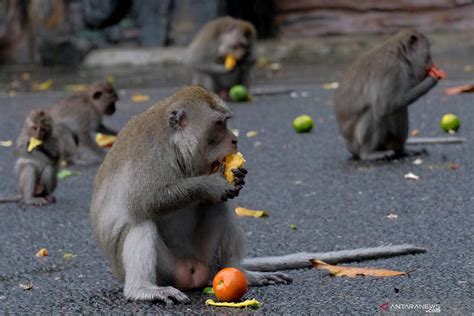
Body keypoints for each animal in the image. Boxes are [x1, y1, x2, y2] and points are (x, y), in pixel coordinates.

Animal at [89, 86, 288, 304]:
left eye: (226, 123)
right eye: (219, 124)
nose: (235, 140)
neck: (175, 145)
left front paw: (238, 176)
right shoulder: (148, 155)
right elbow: (144, 201)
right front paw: (213, 184)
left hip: (204, 257)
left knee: (220, 206)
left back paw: (241, 272)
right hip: (166, 270)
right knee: (142, 221)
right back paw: (142, 289)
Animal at [334, 29, 444, 160]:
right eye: (428, 53)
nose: (432, 63)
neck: (399, 56)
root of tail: (349, 147)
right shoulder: (391, 70)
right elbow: (386, 106)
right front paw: (430, 81)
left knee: (400, 110)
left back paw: (402, 150)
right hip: (357, 143)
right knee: (375, 112)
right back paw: (368, 153)